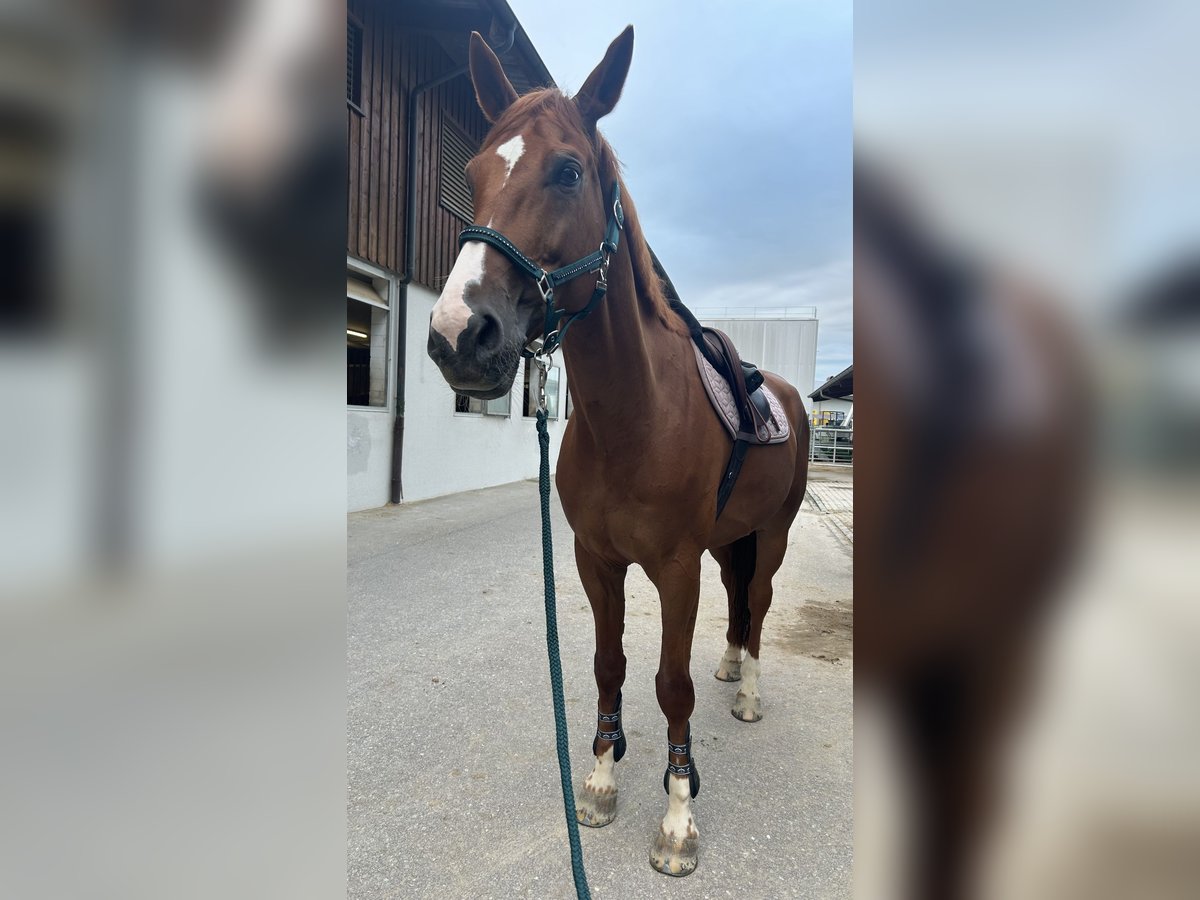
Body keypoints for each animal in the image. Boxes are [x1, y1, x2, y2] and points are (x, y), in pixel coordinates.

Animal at [427, 30, 811, 883]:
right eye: (472, 173)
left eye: (568, 170)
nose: (457, 335)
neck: (636, 418)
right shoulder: (595, 559)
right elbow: (609, 666)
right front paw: (601, 780)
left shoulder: (675, 567)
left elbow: (672, 685)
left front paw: (678, 817)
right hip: (729, 540)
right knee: (739, 602)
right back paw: (731, 666)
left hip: (769, 535)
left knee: (759, 600)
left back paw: (747, 691)